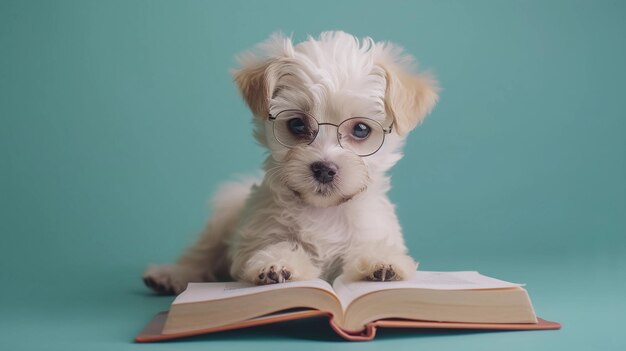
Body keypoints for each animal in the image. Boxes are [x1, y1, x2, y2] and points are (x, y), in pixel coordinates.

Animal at [142, 30, 436, 296]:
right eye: (297, 124)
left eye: (361, 129)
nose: (324, 169)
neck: (324, 212)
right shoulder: (258, 235)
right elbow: (277, 247)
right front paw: (277, 264)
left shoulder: (370, 230)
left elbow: (370, 249)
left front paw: (381, 262)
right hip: (223, 218)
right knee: (199, 255)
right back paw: (169, 275)